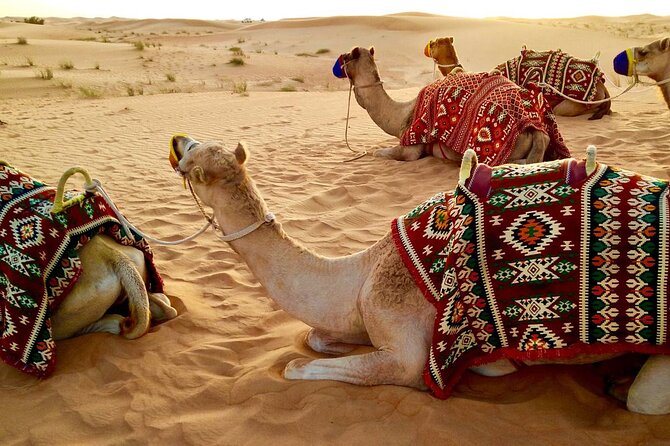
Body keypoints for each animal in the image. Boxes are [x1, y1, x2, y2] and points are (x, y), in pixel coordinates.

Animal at [170, 134, 670, 415]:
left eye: (191, 158)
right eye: (196, 145)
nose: (176, 139)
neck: (362, 272)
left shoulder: (405, 344)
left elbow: (297, 364)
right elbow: (316, 338)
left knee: (643, 400)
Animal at [336, 47, 569, 165]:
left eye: (346, 57)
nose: (338, 63)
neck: (401, 114)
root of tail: (536, 129)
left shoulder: (411, 145)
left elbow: (381, 153)